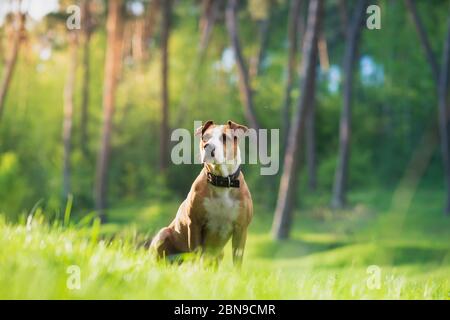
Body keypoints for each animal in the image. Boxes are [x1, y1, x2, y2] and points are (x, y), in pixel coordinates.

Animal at [150, 120, 253, 264]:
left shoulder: (241, 229)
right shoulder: (195, 224)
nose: (208, 147)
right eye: (205, 137)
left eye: (225, 138)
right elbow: (196, 252)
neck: (220, 181)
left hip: (219, 254)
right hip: (163, 234)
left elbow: (237, 260)